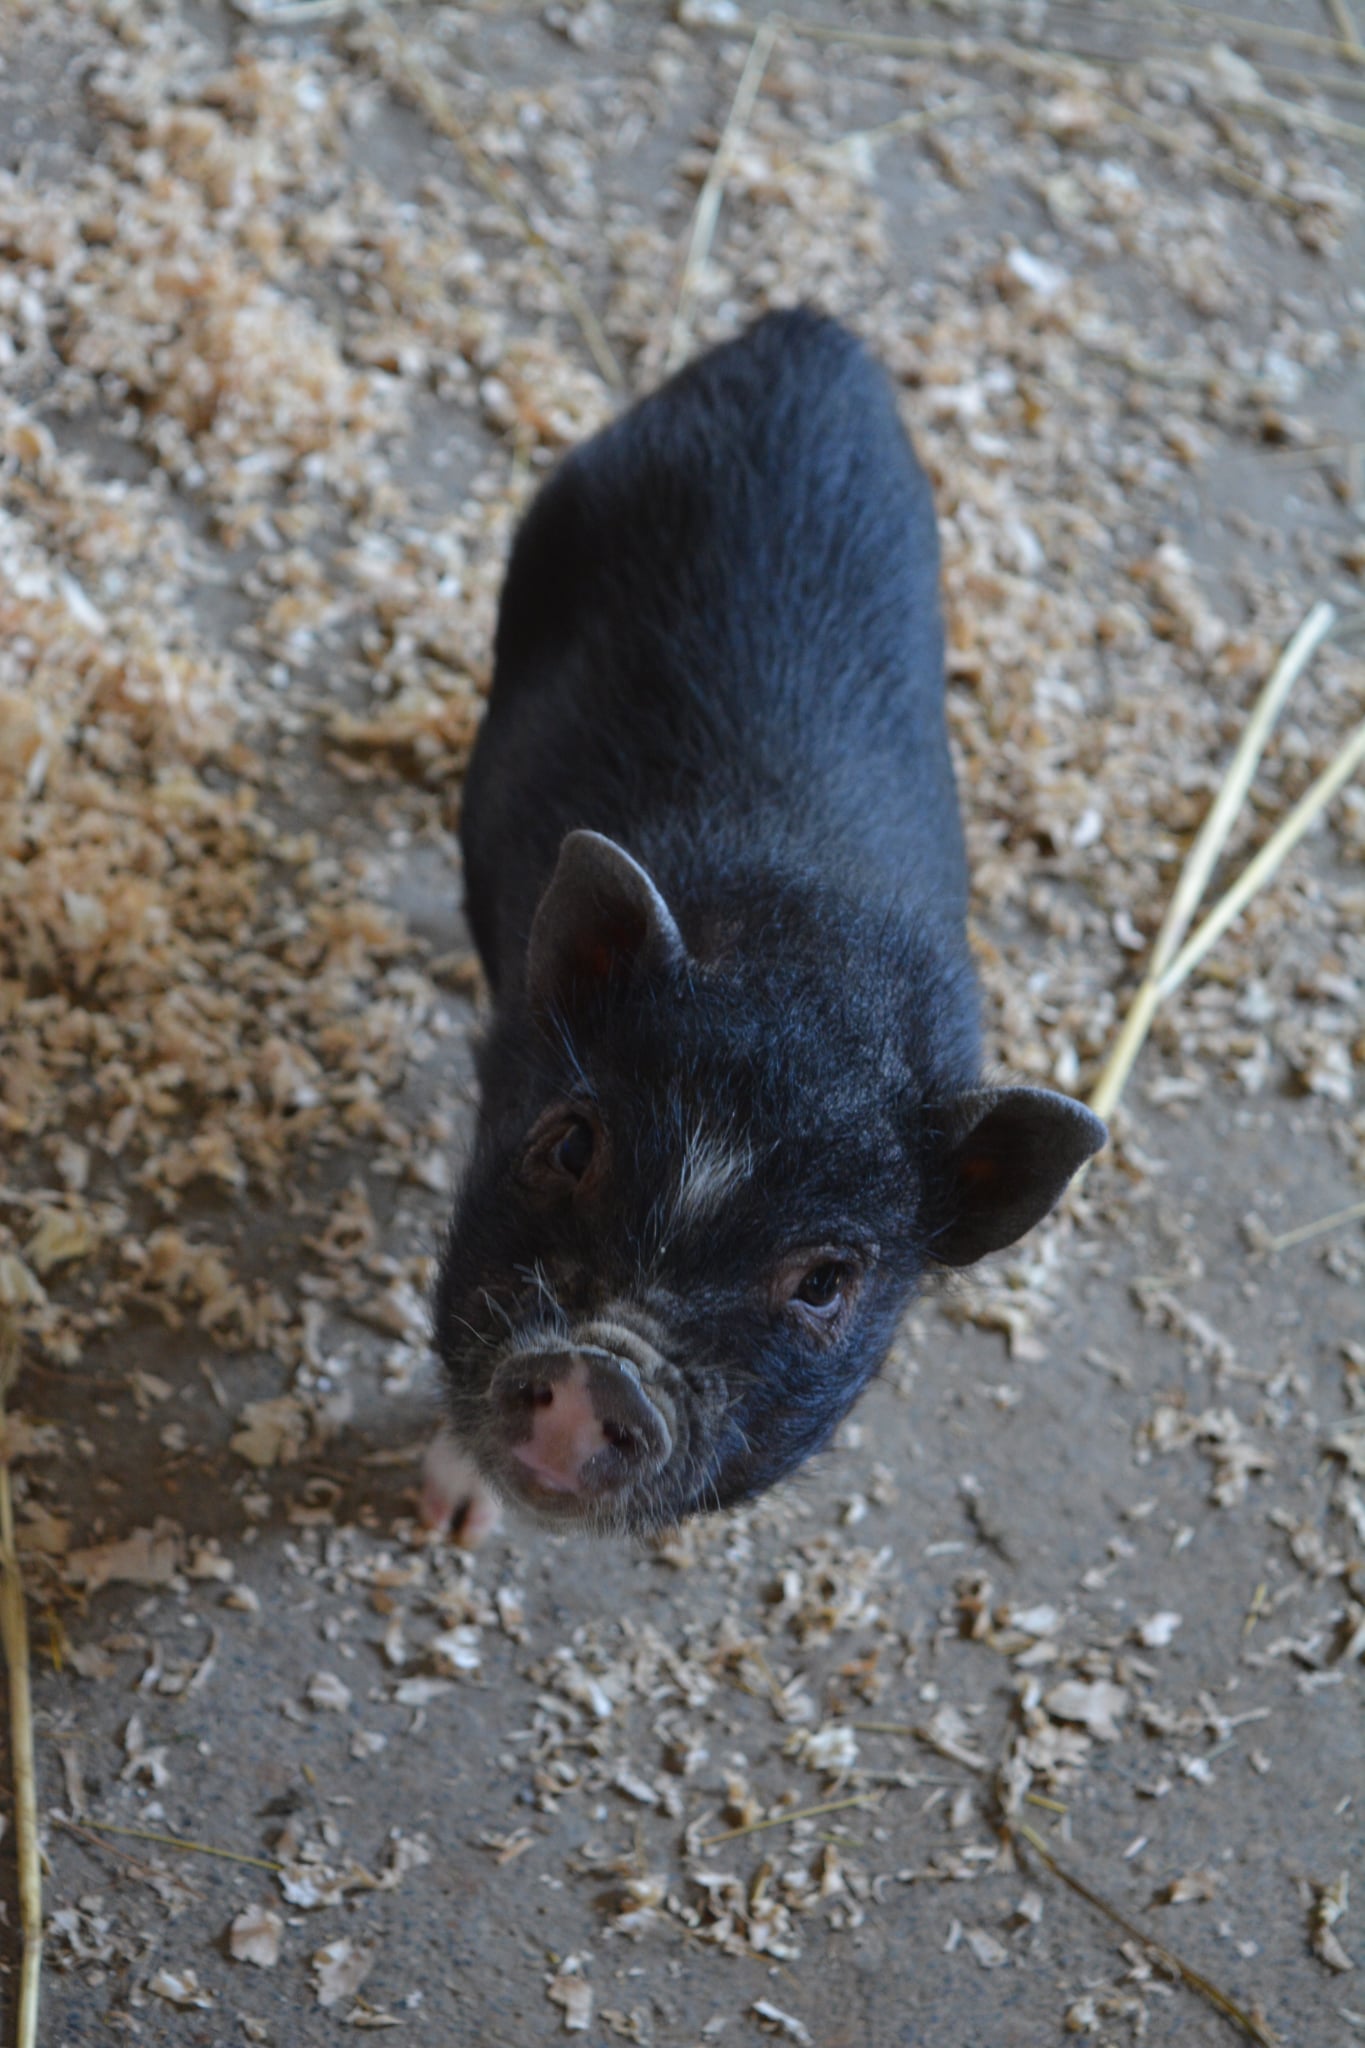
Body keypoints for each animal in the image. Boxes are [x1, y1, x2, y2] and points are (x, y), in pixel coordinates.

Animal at [425, 307, 1105, 1543]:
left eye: (825, 1278)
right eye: (569, 1142)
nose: (603, 1366)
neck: (807, 960)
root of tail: (808, 333)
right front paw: (445, 1520)